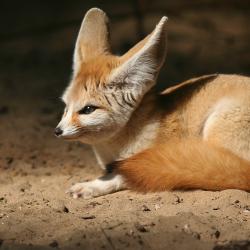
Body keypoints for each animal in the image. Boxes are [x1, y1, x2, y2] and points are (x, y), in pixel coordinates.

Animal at [55, 8, 250, 199]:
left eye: (88, 109)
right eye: (65, 107)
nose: (57, 131)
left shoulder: (160, 160)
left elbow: (122, 175)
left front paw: (93, 186)